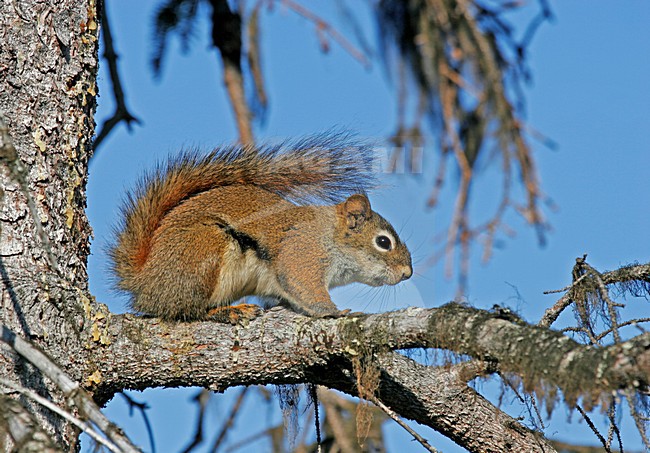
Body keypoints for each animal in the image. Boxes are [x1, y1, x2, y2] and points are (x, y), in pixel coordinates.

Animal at [110, 134, 412, 322]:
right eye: (383, 242)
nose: (407, 274)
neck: (330, 236)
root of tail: (145, 280)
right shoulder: (303, 253)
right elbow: (304, 286)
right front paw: (333, 312)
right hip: (204, 251)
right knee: (186, 310)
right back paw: (227, 313)